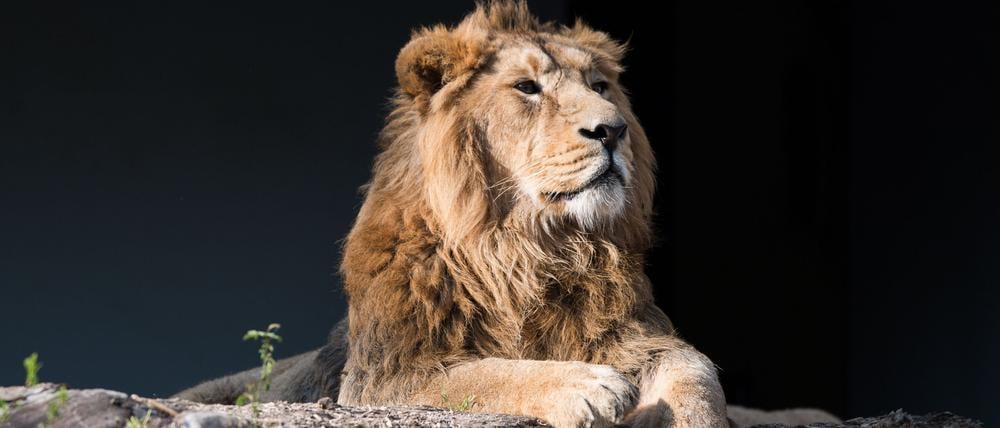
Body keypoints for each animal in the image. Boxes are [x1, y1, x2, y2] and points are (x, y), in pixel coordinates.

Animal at [177, 3, 839, 427]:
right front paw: (585, 384)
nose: (613, 130)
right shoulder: (387, 376)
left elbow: (695, 370)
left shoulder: (635, 333)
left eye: (600, 85)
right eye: (527, 88)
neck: (526, 247)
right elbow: (485, 374)